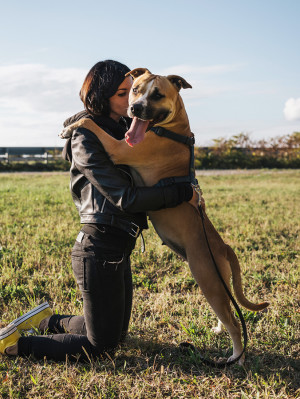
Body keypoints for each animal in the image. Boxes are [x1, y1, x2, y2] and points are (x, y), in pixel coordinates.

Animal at [59, 68, 268, 366]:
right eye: (134, 90)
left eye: (157, 94)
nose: (135, 108)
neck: (171, 129)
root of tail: (224, 247)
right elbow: (89, 119)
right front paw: (71, 120)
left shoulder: (119, 148)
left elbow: (91, 124)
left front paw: (71, 126)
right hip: (216, 283)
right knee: (228, 313)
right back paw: (220, 331)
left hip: (209, 280)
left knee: (235, 322)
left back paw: (236, 357)